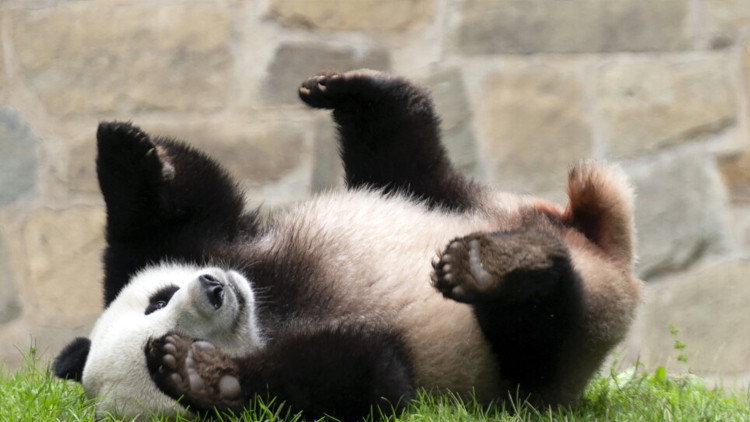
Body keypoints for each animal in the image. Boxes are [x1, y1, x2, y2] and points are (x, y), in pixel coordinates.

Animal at [53, 69, 642, 421]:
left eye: (158, 299)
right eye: (172, 325)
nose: (215, 289)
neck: (269, 310)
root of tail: (603, 251)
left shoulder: (219, 245)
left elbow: (181, 211)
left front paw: (125, 151)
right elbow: (369, 379)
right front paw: (202, 375)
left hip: (456, 199)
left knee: (406, 156)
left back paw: (355, 92)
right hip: (538, 365)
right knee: (540, 328)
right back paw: (497, 268)